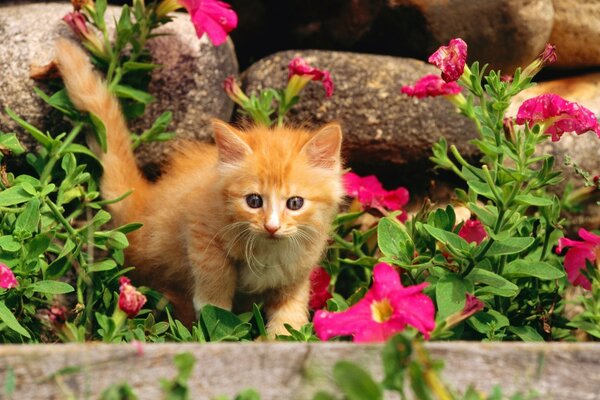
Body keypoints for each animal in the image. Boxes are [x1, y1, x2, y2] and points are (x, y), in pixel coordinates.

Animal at [54, 39, 344, 334]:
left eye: (295, 203)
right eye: (253, 201)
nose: (271, 227)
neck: (269, 249)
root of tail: (143, 203)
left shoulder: (298, 269)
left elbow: (290, 316)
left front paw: (282, 334)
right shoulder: (199, 223)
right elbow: (214, 268)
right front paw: (213, 309)